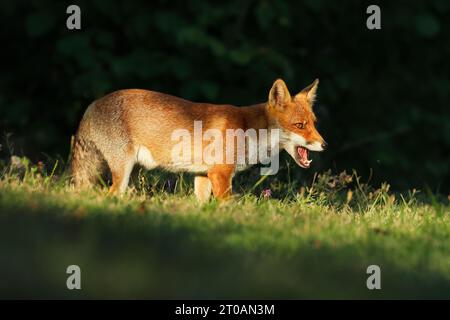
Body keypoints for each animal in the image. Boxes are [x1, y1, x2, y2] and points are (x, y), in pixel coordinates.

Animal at [70, 78, 326, 200]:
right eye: (300, 125)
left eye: (314, 123)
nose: (324, 144)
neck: (249, 130)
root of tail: (92, 104)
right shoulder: (221, 173)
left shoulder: (203, 175)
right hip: (122, 171)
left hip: (132, 174)